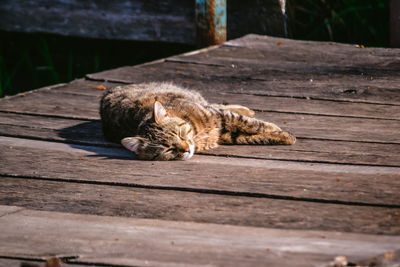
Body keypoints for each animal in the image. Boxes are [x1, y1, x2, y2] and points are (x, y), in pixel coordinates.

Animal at [99, 82, 296, 161]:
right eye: (168, 149)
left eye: (179, 134)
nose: (186, 149)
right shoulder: (226, 134)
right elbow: (253, 136)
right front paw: (282, 136)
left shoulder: (219, 116)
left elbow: (251, 124)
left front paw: (279, 131)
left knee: (219, 105)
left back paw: (246, 109)